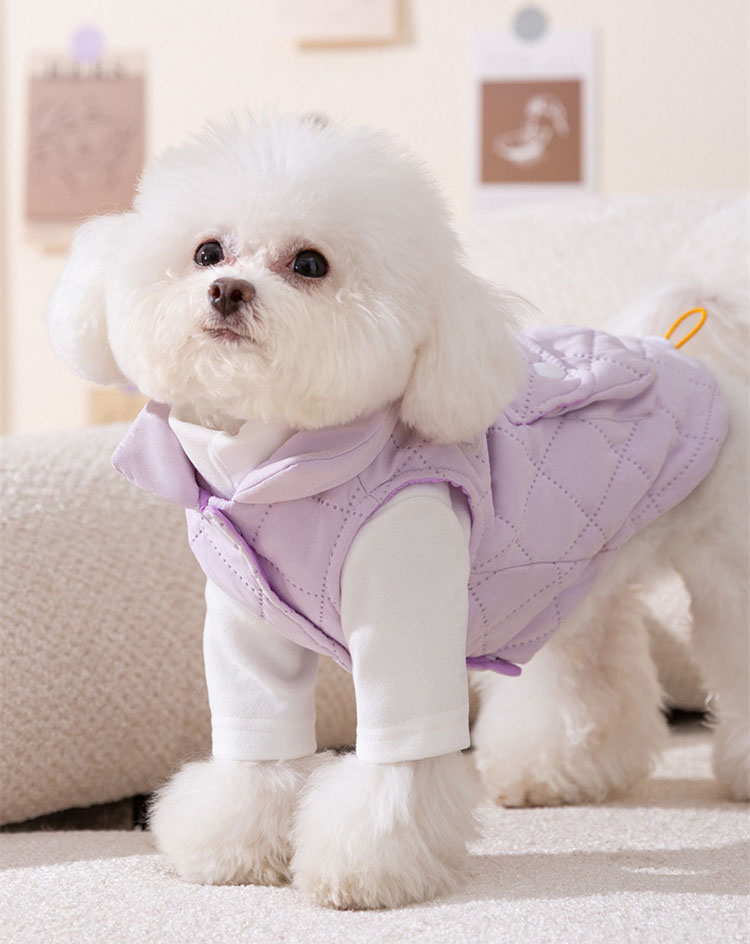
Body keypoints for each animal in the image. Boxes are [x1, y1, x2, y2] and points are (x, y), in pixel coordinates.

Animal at [46, 114, 749, 909]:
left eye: (310, 263)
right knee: (586, 671)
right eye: (206, 252)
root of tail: (693, 354)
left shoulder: (405, 605)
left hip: (725, 568)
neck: (276, 470)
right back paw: (556, 771)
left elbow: (397, 758)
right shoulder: (246, 621)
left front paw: (369, 863)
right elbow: (258, 737)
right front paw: (235, 843)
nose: (226, 290)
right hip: (565, 582)